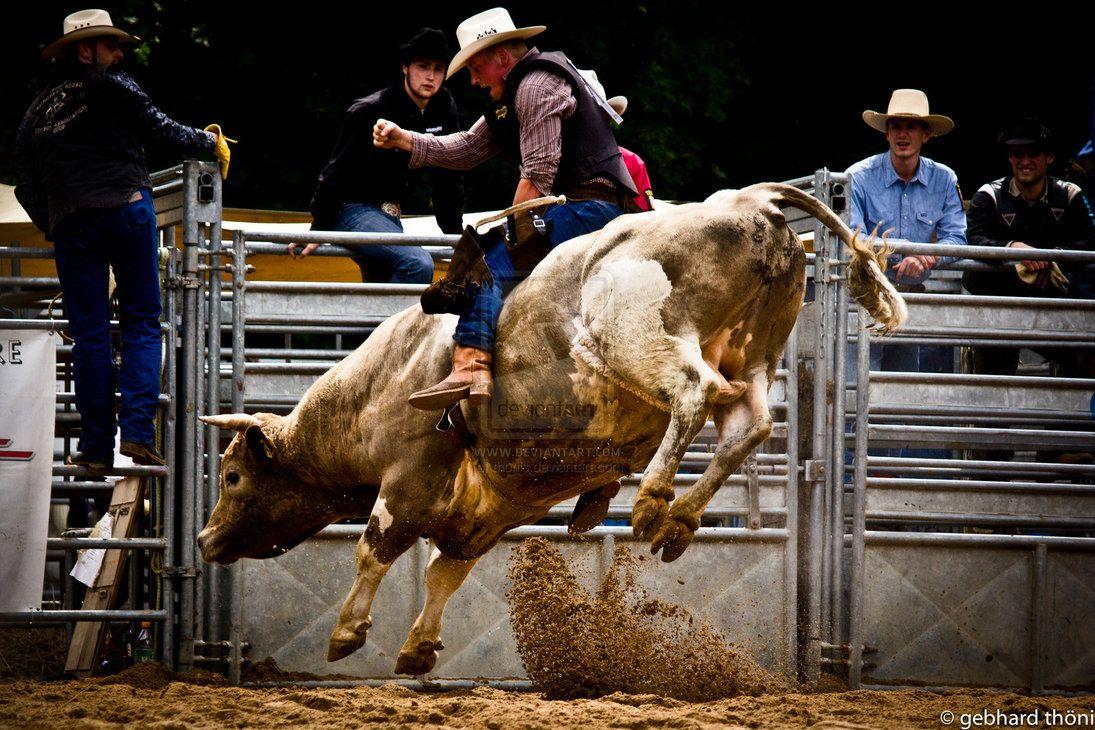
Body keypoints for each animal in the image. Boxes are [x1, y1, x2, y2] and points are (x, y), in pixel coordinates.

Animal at [198, 183, 906, 675]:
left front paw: (347, 634)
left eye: (231, 475)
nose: (204, 540)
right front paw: (418, 650)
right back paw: (679, 521)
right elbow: (445, 574)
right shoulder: (487, 513)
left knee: (694, 392)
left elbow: (375, 549)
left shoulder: (407, 478)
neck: (384, 383)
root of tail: (753, 202)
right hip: (752, 356)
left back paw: (652, 501)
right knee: (748, 426)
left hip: (639, 337)